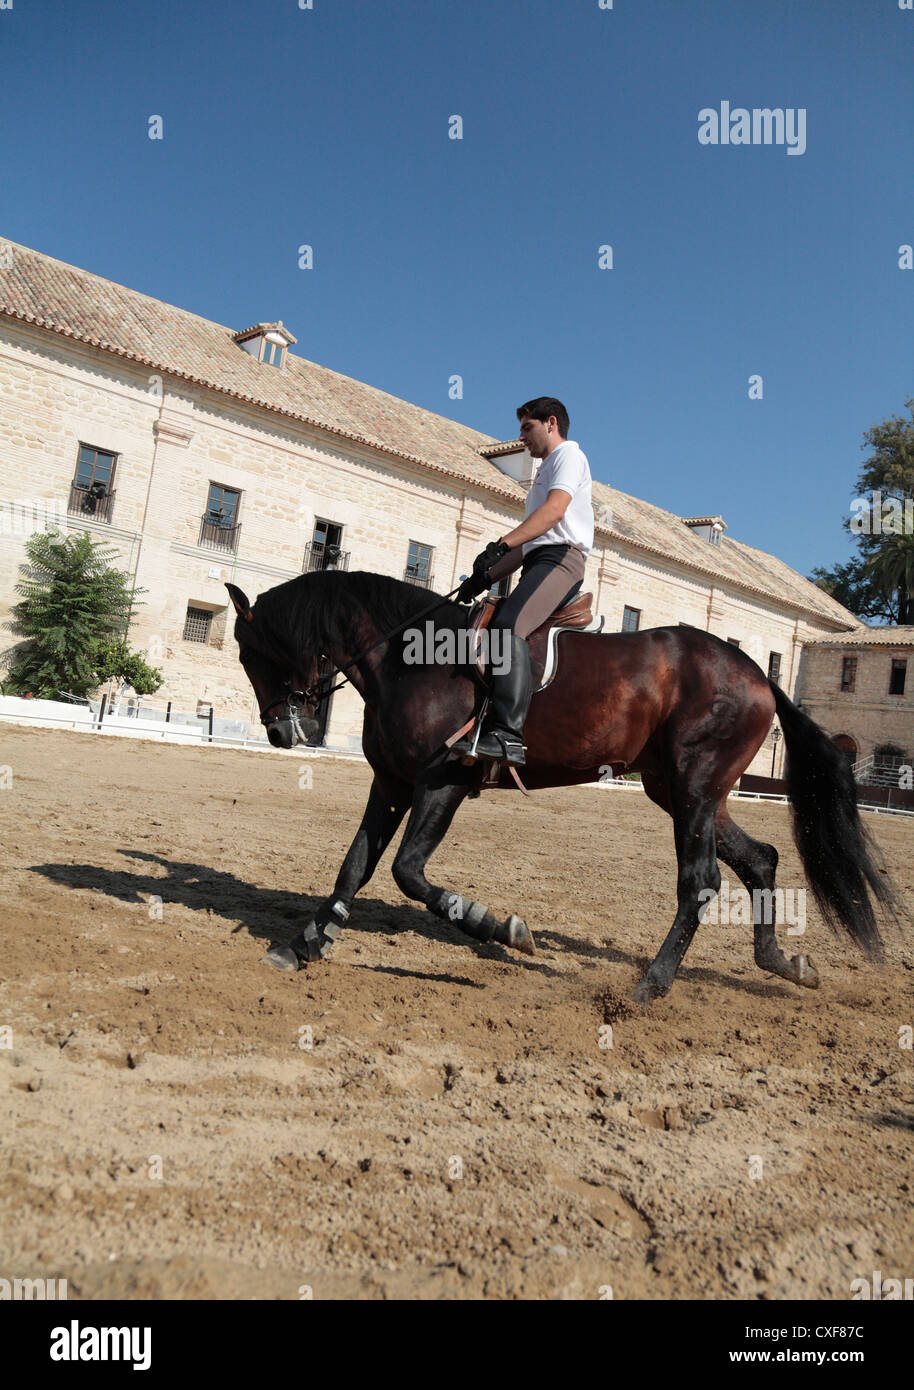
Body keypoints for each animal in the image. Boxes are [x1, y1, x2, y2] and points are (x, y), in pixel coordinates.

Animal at [223, 569, 894, 1006]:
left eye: (251, 653)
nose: (280, 731)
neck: (407, 657)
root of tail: (758, 675)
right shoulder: (391, 781)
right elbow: (354, 867)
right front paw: (305, 944)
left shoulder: (443, 783)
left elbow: (407, 872)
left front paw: (500, 927)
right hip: (679, 790)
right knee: (760, 860)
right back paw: (785, 965)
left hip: (694, 788)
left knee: (701, 881)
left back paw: (649, 987)